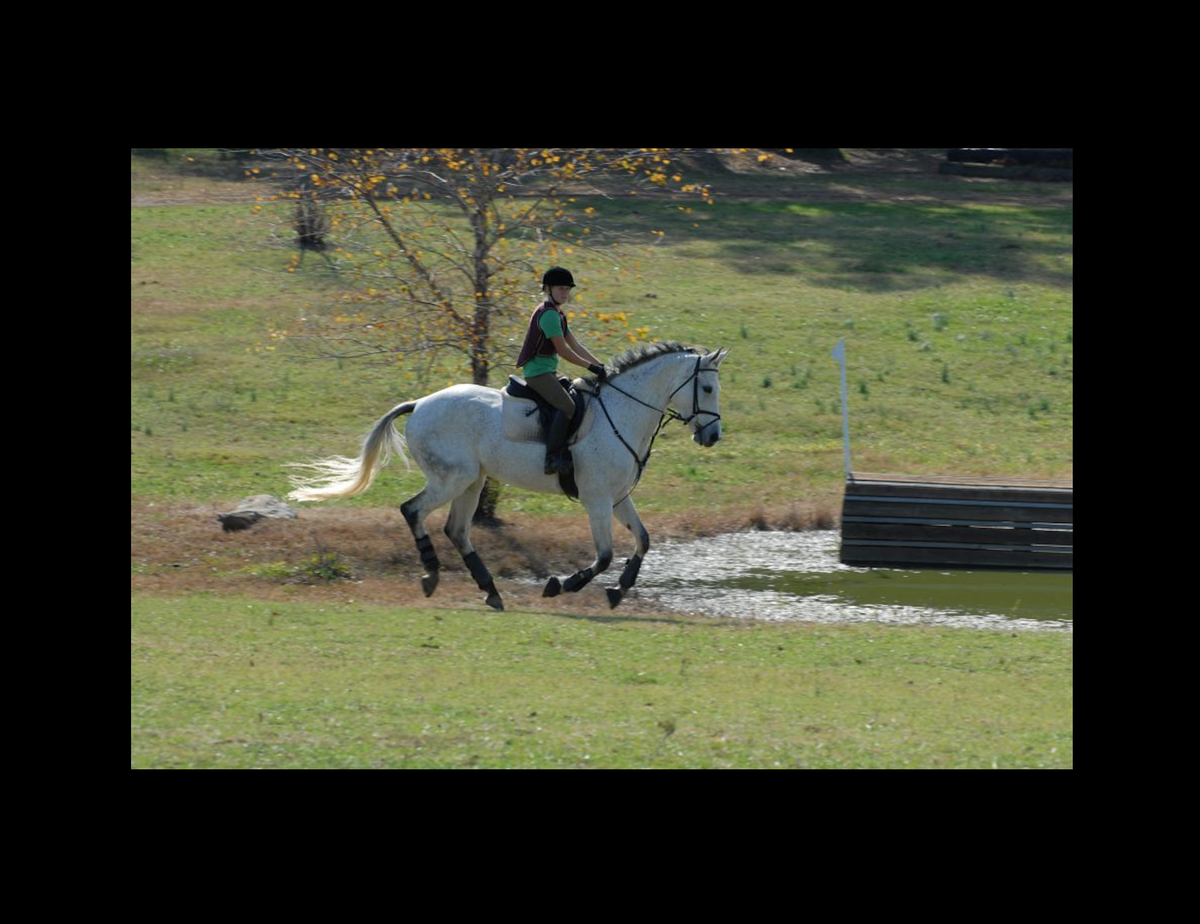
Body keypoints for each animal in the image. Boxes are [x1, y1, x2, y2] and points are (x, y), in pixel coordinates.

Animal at [287, 341, 729, 610]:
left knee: (456, 530)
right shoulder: (597, 499)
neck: (622, 412)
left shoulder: (619, 498)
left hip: (472, 482)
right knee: (412, 510)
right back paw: (431, 574)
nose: (712, 437)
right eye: (707, 388)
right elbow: (603, 555)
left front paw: (619, 591)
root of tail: (421, 403)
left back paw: (491, 591)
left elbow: (643, 540)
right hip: (452, 479)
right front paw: (561, 585)